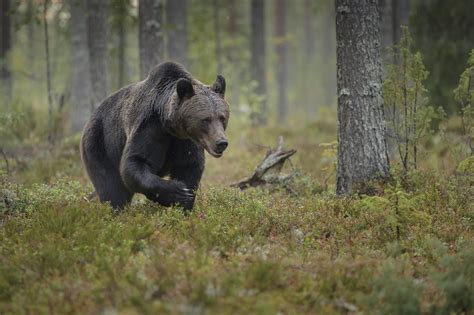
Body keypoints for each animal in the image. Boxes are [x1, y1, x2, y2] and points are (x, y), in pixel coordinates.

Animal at [79, 61, 230, 210]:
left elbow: (189, 165)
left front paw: (185, 203)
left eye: (222, 118)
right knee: (112, 190)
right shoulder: (149, 127)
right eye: (205, 119)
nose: (221, 142)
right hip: (100, 145)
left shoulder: (185, 140)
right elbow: (135, 161)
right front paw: (177, 192)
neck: (170, 127)